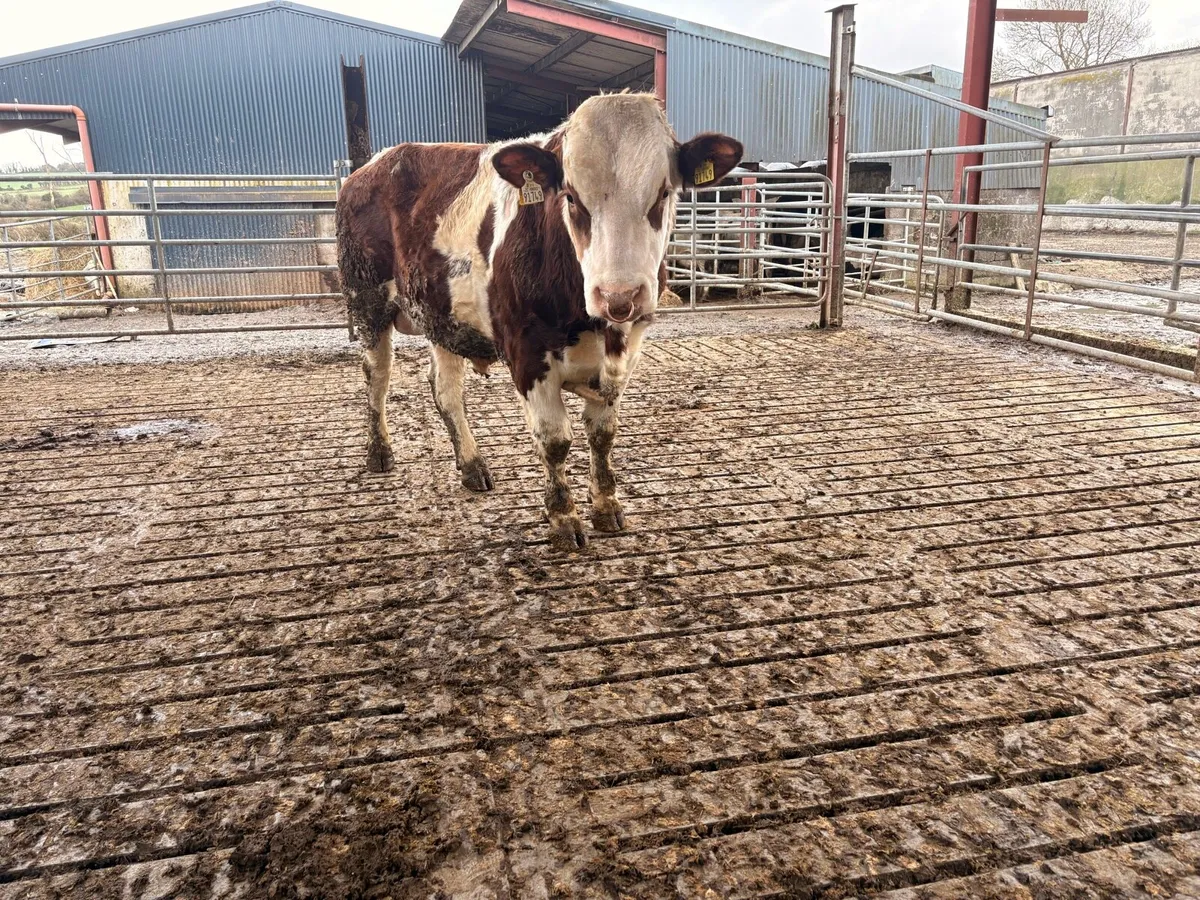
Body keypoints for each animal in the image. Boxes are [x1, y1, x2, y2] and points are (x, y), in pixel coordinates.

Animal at [336, 92, 742, 550]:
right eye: (571, 197)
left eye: (663, 194)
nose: (618, 296)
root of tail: (373, 164)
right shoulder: (526, 353)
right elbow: (554, 440)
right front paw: (563, 517)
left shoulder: (625, 352)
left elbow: (603, 434)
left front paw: (606, 505)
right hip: (366, 298)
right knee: (377, 376)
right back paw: (379, 451)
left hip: (441, 314)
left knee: (445, 391)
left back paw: (472, 464)